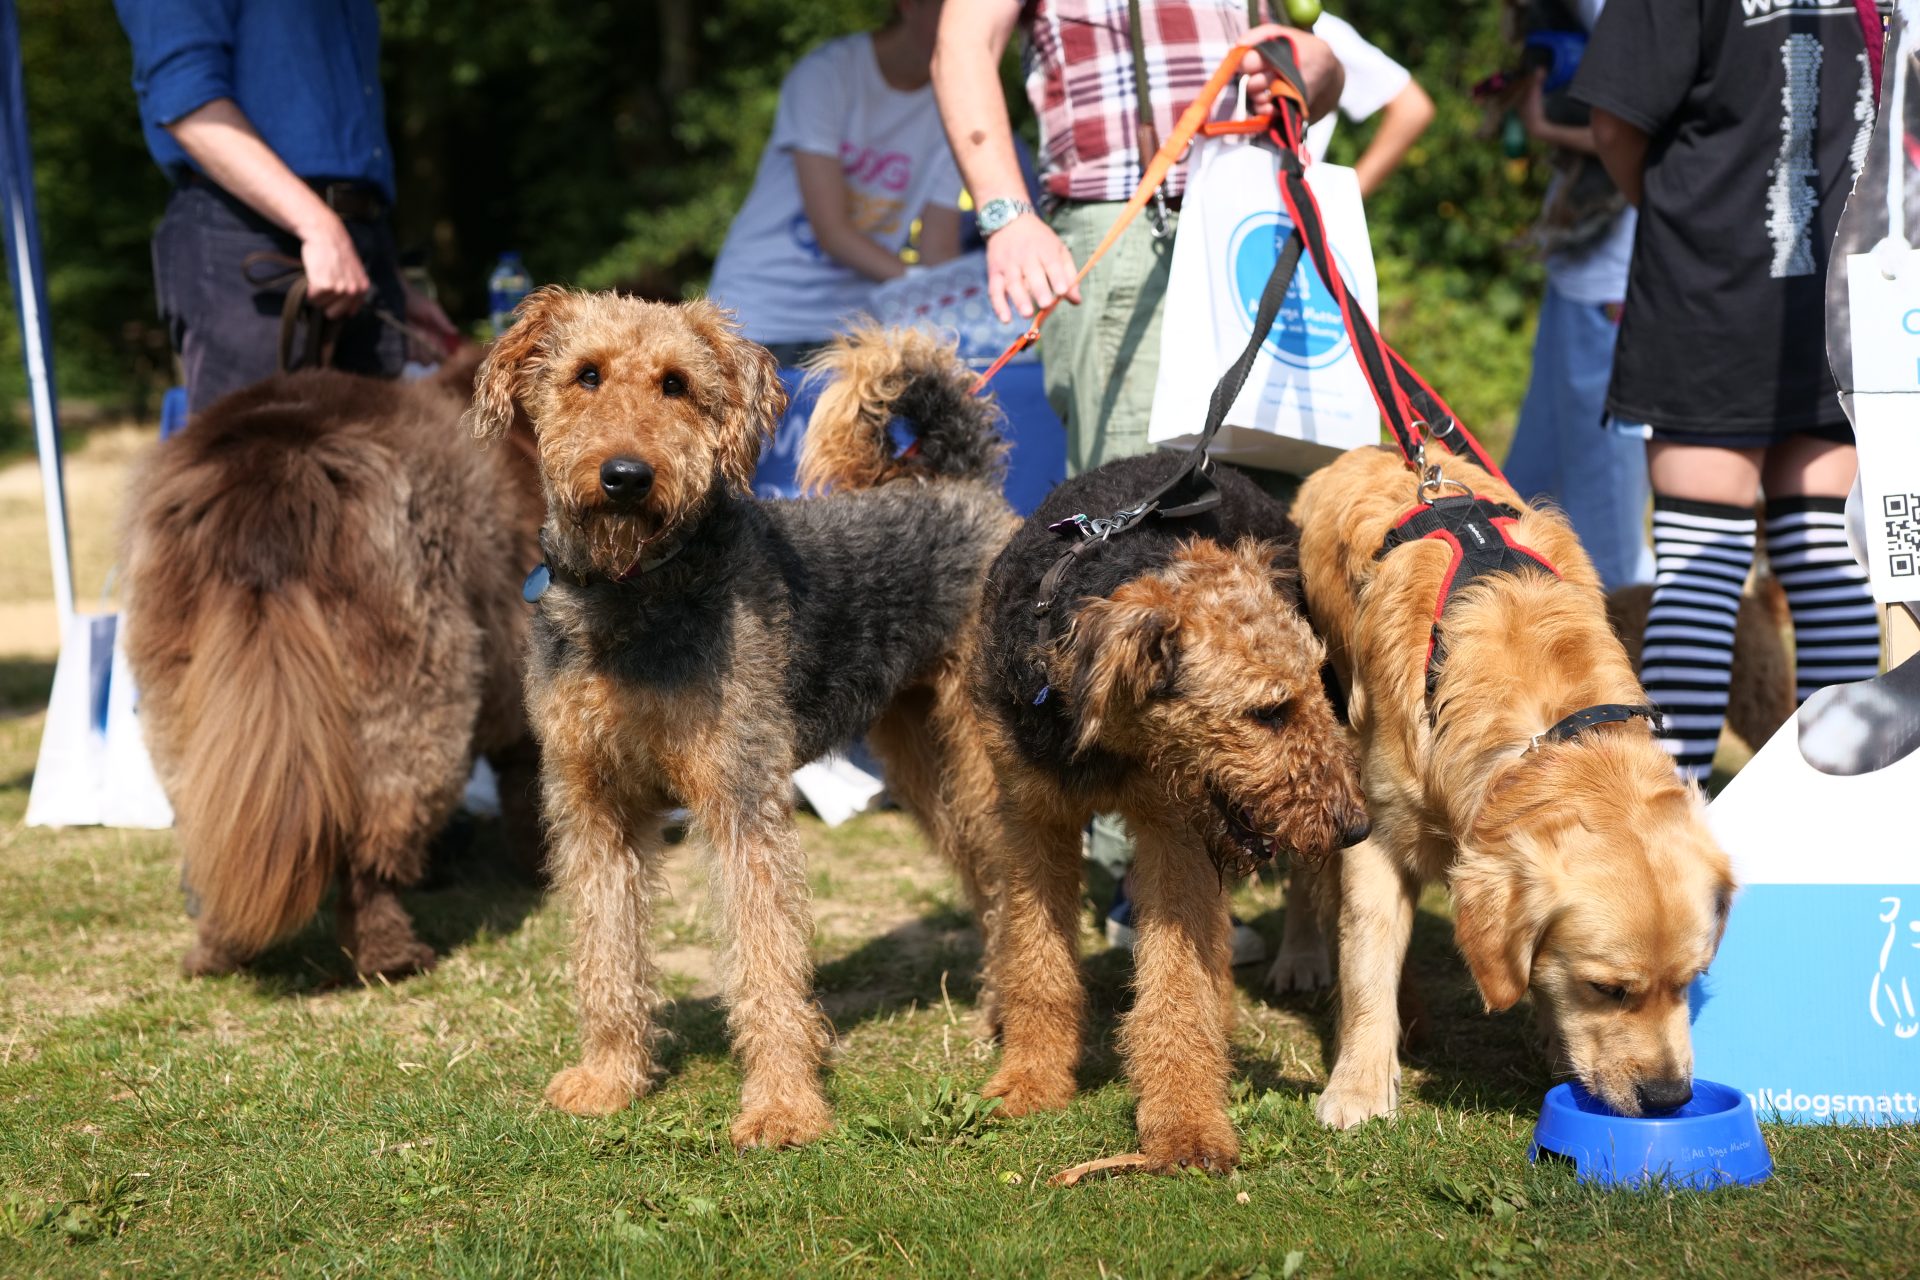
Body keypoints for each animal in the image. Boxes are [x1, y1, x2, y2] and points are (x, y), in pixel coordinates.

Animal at [122, 355, 545, 979]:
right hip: (412, 685)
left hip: (177, 684)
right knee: (377, 848)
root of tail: (274, 469)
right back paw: (392, 954)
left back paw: (218, 946)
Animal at [466, 292, 1014, 1149]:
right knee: (989, 879)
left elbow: (766, 962)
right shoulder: (593, 805)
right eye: (586, 374)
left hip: (986, 754)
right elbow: (607, 953)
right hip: (924, 760)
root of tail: (963, 484)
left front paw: (783, 1108)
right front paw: (607, 1080)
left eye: (677, 384)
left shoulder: (741, 797)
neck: (632, 593)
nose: (626, 477)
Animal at [963, 452, 1369, 1172]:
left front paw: (1186, 1129)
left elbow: (1176, 988)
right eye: (1267, 712)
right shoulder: (1032, 821)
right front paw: (1028, 1083)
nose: (1356, 828)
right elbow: (1038, 965)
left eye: (1305, 696)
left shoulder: (1172, 834)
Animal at [1287, 445, 1735, 1127]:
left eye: (1689, 981)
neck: (1553, 728)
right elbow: (1367, 966)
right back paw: (1302, 958)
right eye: (1607, 989)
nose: (1669, 1099)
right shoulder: (1378, 831)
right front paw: (1358, 1088)